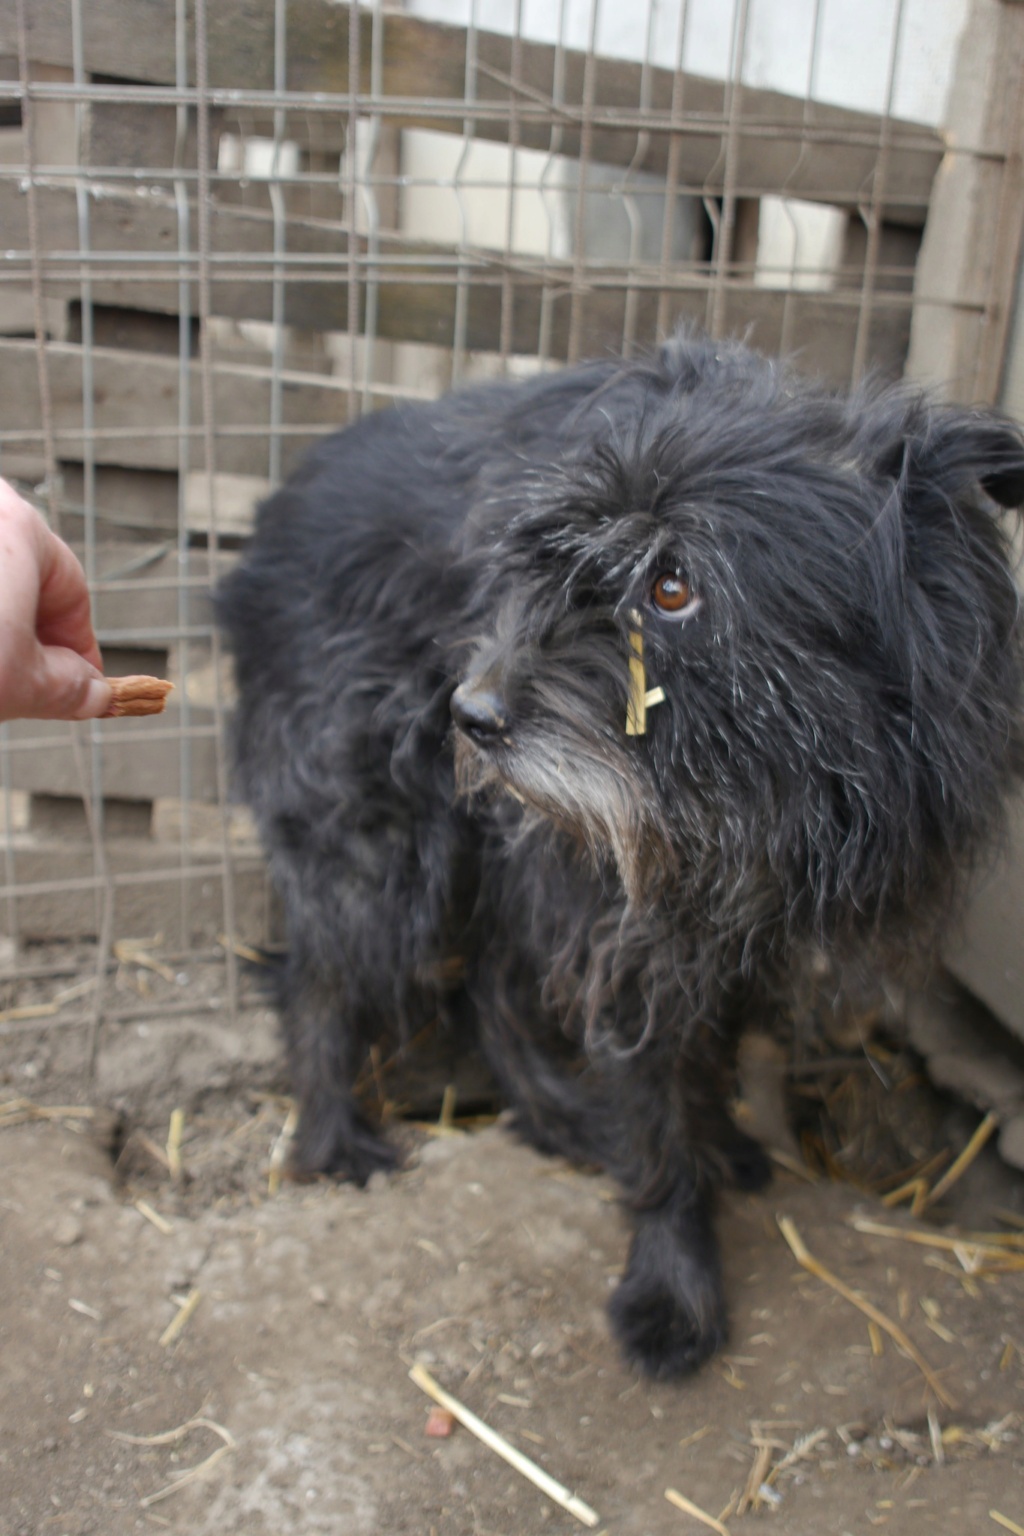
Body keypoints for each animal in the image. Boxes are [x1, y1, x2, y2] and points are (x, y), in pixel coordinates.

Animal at [216, 330, 1024, 1376]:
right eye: (540, 565)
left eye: (672, 586)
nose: (468, 712)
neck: (778, 778)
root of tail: (274, 511)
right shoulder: (626, 923)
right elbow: (656, 1097)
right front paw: (673, 1283)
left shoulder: (730, 920)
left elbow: (711, 1053)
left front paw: (720, 1147)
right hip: (380, 834)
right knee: (319, 974)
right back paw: (332, 1138)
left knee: (488, 979)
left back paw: (555, 1116)